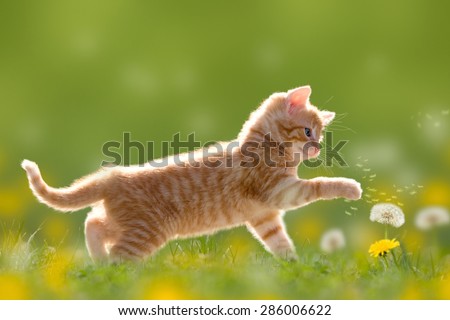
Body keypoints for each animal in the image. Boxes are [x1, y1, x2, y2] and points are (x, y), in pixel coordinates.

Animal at [22, 85, 362, 262]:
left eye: (320, 135)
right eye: (307, 132)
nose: (316, 149)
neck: (267, 148)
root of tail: (113, 175)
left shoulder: (264, 216)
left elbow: (279, 242)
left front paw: (291, 267)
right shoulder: (280, 191)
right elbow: (318, 185)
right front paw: (350, 188)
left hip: (124, 223)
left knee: (93, 223)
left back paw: (98, 260)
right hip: (146, 232)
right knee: (118, 256)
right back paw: (111, 274)